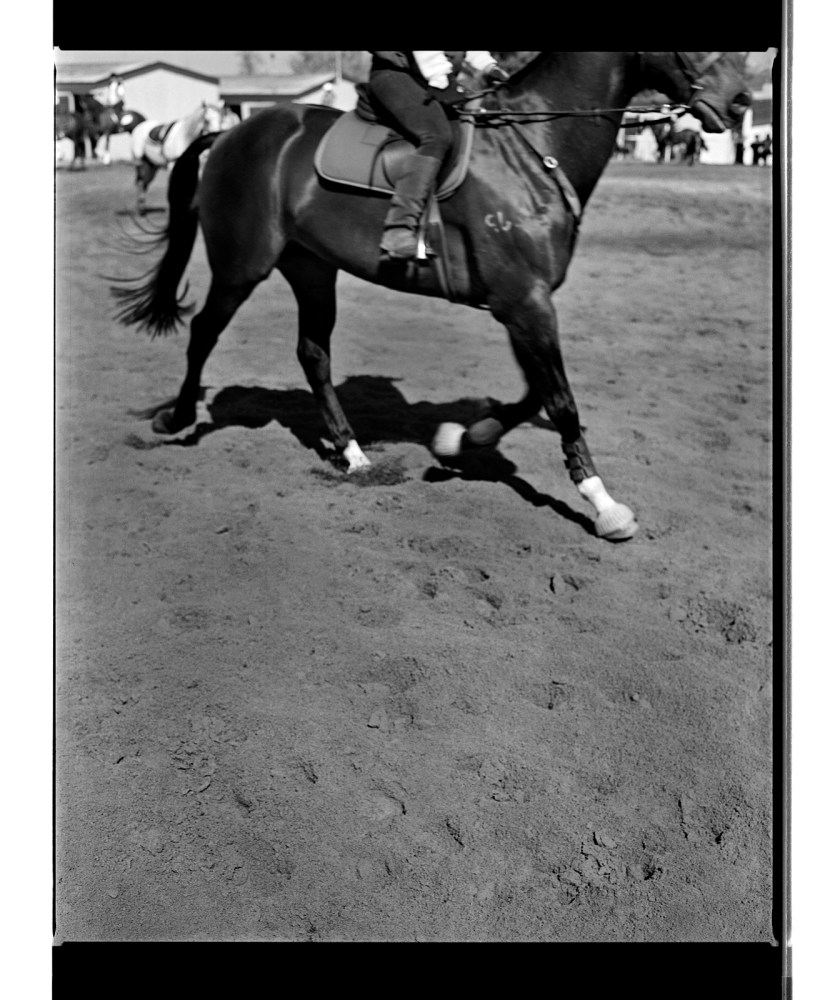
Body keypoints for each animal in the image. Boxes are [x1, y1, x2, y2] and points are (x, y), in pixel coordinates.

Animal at [111, 52, 750, 542]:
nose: (741, 101)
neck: (533, 150)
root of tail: (233, 132)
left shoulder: (519, 304)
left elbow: (533, 396)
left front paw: (462, 439)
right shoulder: (525, 302)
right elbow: (560, 401)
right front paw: (604, 505)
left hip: (312, 269)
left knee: (313, 354)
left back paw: (352, 453)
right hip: (242, 266)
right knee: (204, 332)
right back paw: (178, 418)